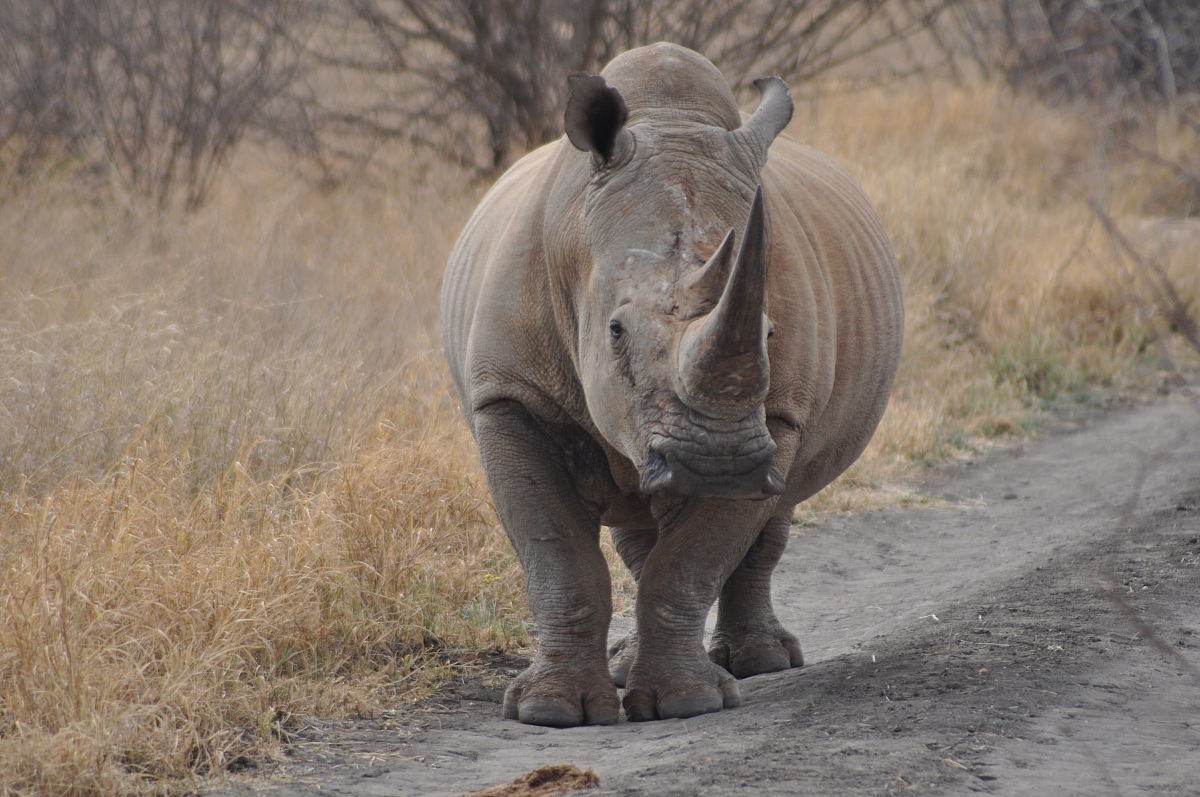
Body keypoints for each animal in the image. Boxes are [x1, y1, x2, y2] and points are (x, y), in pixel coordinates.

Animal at [441, 43, 902, 726]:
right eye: (614, 331)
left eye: (769, 333)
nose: (717, 463)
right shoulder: (510, 396)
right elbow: (557, 556)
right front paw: (551, 713)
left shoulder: (777, 419)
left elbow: (692, 562)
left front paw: (687, 703)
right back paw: (629, 667)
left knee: (766, 519)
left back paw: (760, 662)